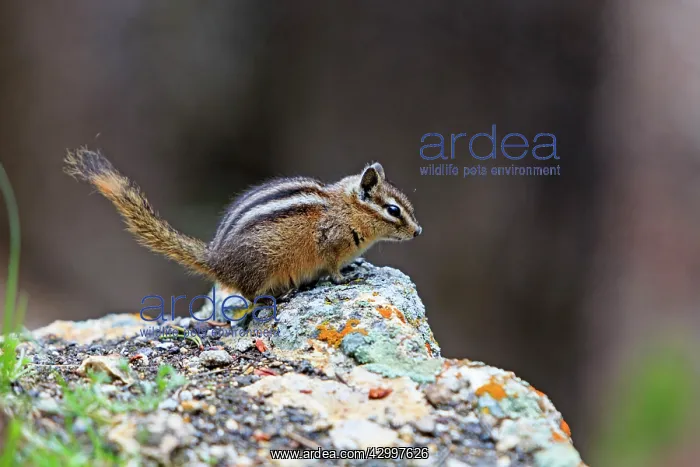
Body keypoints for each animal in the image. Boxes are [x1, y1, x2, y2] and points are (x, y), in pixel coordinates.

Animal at [64, 148, 422, 302]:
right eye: (393, 210)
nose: (418, 231)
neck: (347, 208)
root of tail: (217, 261)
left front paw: (358, 264)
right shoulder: (329, 243)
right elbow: (333, 269)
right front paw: (347, 277)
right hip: (265, 265)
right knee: (249, 296)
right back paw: (278, 297)